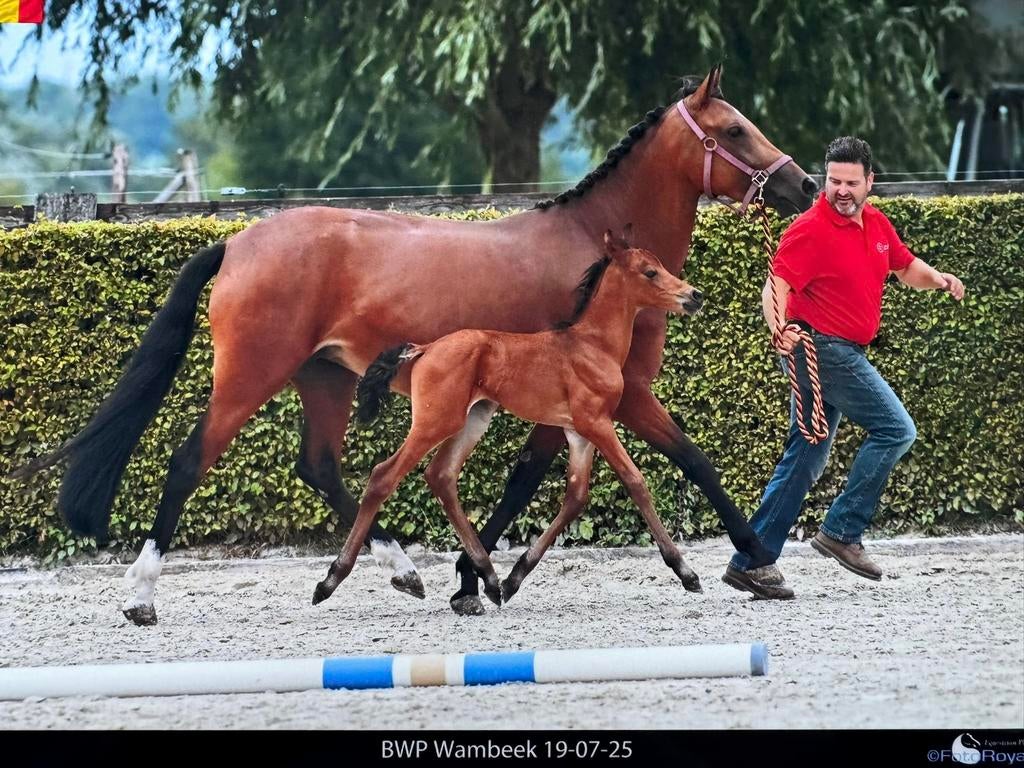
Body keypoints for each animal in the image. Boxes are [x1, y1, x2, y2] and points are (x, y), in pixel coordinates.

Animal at [314, 229, 705, 607]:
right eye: (650, 272)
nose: (695, 295)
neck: (592, 345)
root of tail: (425, 348)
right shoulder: (597, 423)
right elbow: (635, 481)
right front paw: (687, 573)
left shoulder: (577, 432)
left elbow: (576, 496)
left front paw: (514, 578)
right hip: (435, 421)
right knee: (384, 476)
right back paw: (333, 581)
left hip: (472, 419)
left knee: (441, 475)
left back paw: (488, 577)